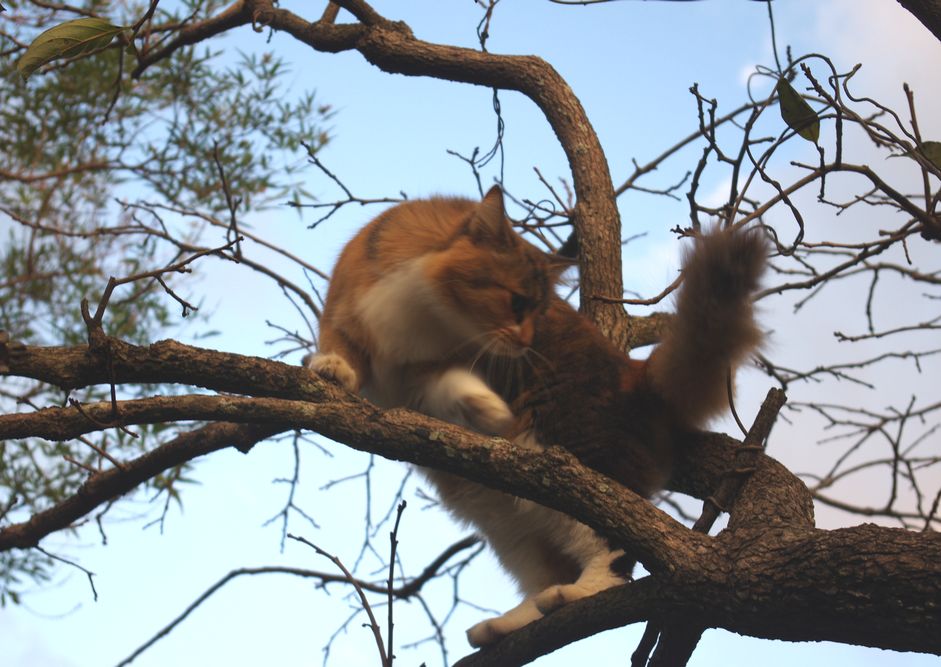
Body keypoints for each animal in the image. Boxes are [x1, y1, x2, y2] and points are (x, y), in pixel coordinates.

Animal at [308, 187, 764, 648]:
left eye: (540, 311)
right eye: (517, 303)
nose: (527, 343)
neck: (427, 308)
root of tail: (638, 374)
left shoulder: (440, 367)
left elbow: (454, 383)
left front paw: (490, 409)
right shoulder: (351, 317)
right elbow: (343, 350)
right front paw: (332, 368)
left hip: (575, 473)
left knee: (613, 556)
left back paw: (572, 595)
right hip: (505, 515)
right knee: (544, 576)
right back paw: (504, 625)